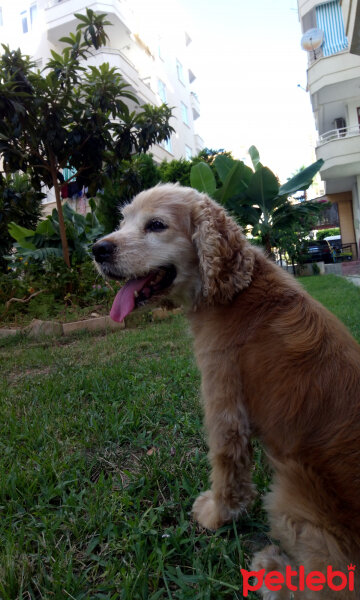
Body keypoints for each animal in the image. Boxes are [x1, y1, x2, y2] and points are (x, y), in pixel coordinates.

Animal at [93, 185, 360, 596]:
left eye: (156, 225)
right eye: (123, 222)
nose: (97, 249)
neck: (234, 289)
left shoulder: (224, 401)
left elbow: (226, 468)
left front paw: (215, 515)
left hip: (289, 495)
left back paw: (271, 569)